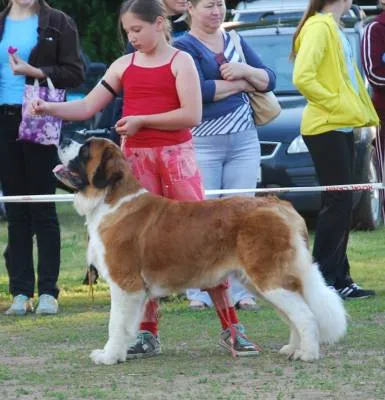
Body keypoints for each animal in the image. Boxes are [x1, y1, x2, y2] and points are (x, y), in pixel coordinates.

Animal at [53, 138, 344, 366]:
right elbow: (128, 325)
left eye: (85, 150)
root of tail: (280, 205)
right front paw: (121, 352)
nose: (62, 139)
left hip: (269, 279)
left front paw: (109, 356)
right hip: (261, 281)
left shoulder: (125, 284)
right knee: (295, 312)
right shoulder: (135, 291)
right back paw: (293, 347)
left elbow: (115, 323)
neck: (110, 198)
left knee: (305, 314)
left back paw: (307, 353)